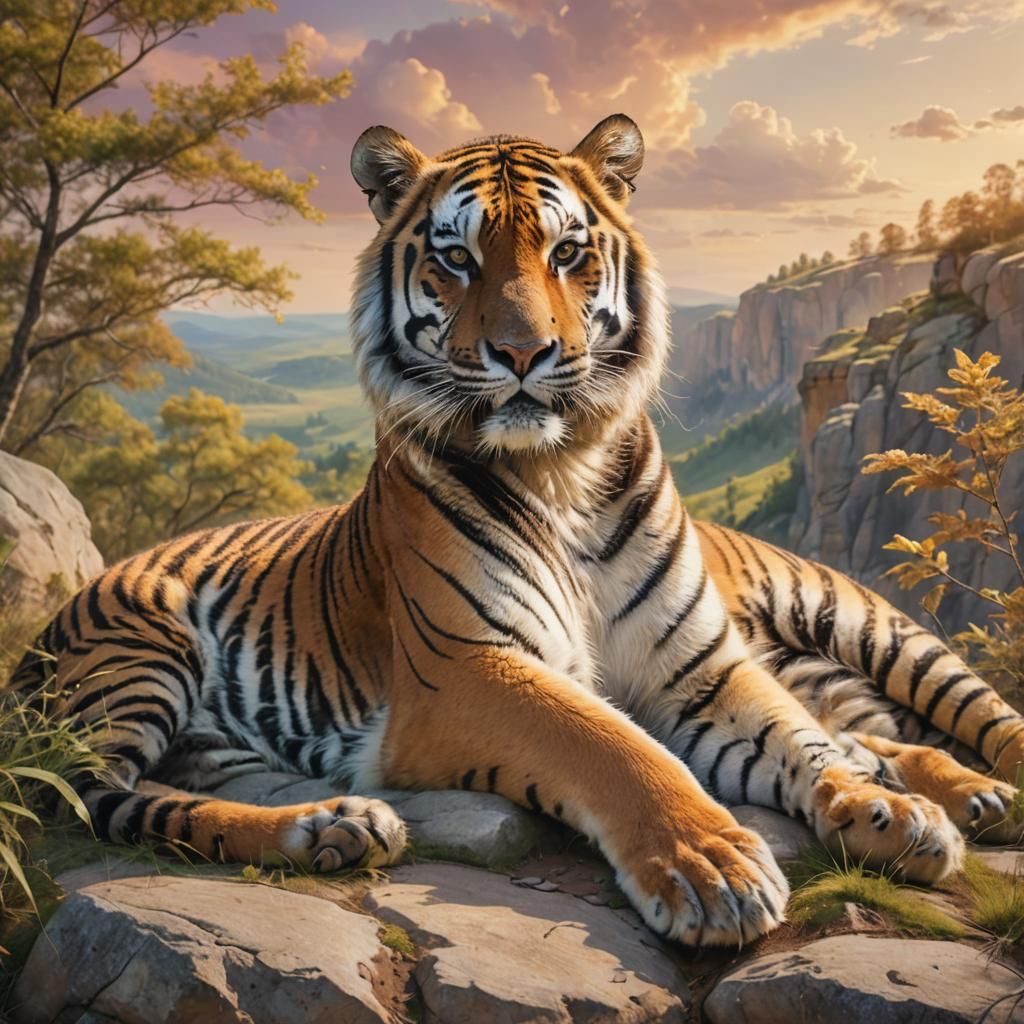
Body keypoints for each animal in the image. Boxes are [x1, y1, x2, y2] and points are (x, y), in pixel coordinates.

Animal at [11, 114, 1024, 949]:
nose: (525, 354)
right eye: (457, 259)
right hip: (137, 653)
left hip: (863, 620)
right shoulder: (469, 668)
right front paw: (713, 870)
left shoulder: (700, 666)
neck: (564, 472)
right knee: (101, 799)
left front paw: (885, 817)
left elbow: (800, 742)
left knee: (946, 716)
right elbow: (612, 744)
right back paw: (334, 826)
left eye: (569, 251)